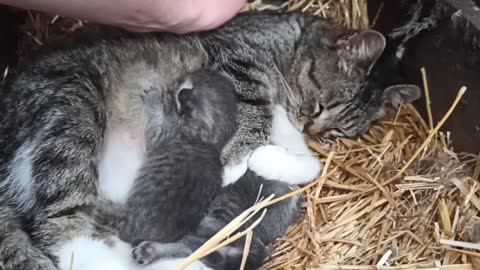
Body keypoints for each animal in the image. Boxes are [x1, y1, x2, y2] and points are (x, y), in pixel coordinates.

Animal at [119, 69, 238, 245]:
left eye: (184, 84)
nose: (176, 87)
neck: (206, 141)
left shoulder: (162, 135)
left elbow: (157, 122)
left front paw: (154, 99)